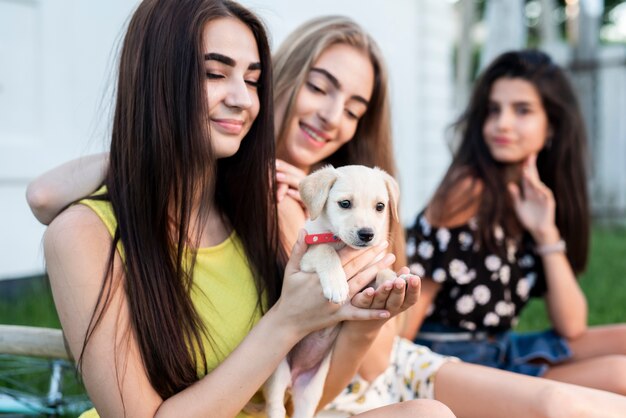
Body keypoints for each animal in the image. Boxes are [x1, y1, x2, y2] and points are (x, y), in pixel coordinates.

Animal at [264, 165, 400, 418]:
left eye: (380, 206)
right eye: (345, 204)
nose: (368, 234)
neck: (340, 242)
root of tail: (294, 376)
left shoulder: (368, 273)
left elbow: (380, 270)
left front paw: (394, 279)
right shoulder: (306, 259)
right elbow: (325, 250)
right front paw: (337, 284)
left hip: (310, 390)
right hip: (277, 374)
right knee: (275, 406)